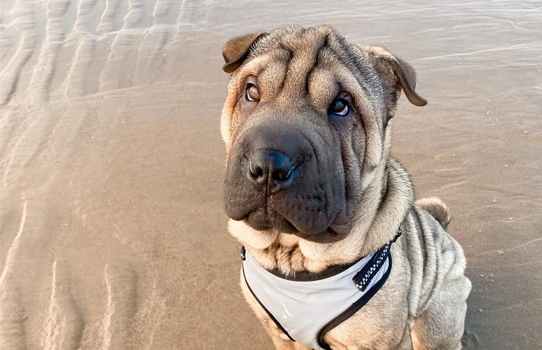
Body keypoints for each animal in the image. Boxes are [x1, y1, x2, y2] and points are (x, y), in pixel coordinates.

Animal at [220, 25, 472, 350]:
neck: (293, 257)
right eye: (251, 91)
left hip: (435, 322)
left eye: (341, 106)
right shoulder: (279, 335)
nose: (268, 166)